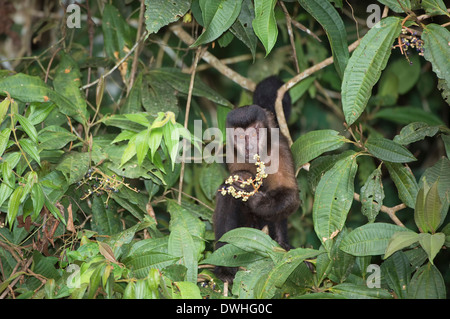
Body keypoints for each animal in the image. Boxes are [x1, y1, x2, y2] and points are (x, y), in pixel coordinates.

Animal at [214, 76, 300, 284]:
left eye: (253, 134)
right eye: (239, 136)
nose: (248, 146)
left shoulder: (279, 150)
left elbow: (289, 194)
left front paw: (256, 200)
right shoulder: (233, 152)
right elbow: (232, 182)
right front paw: (242, 181)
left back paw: (281, 245)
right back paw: (224, 265)